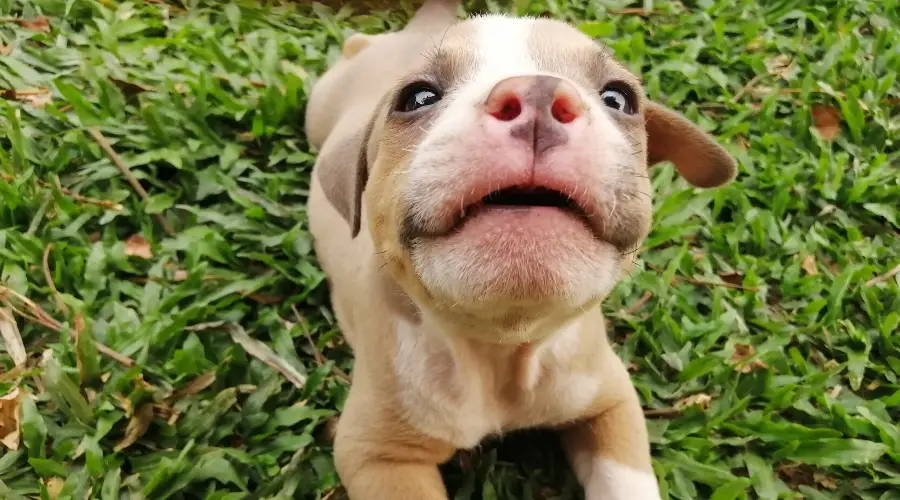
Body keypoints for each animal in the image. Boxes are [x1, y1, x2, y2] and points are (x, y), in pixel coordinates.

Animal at [306, 1, 736, 498]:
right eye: (417, 98)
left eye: (619, 98)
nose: (538, 96)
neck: (502, 350)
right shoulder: (379, 457)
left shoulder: (611, 403)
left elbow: (625, 482)